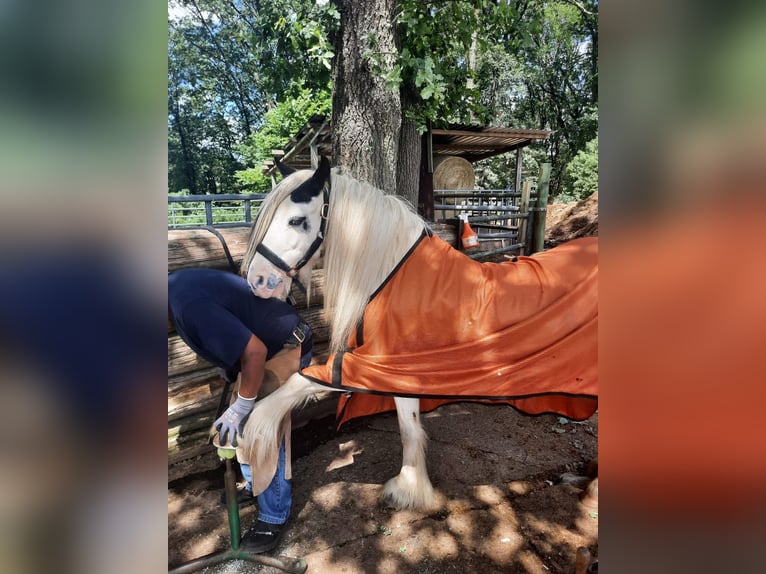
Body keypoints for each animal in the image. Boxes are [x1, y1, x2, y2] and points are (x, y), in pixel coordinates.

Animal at [240, 158, 600, 512]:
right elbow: (406, 425)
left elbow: (306, 385)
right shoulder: (394, 371)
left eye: (297, 220)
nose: (257, 281)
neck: (391, 275)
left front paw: (251, 435)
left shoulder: (385, 366)